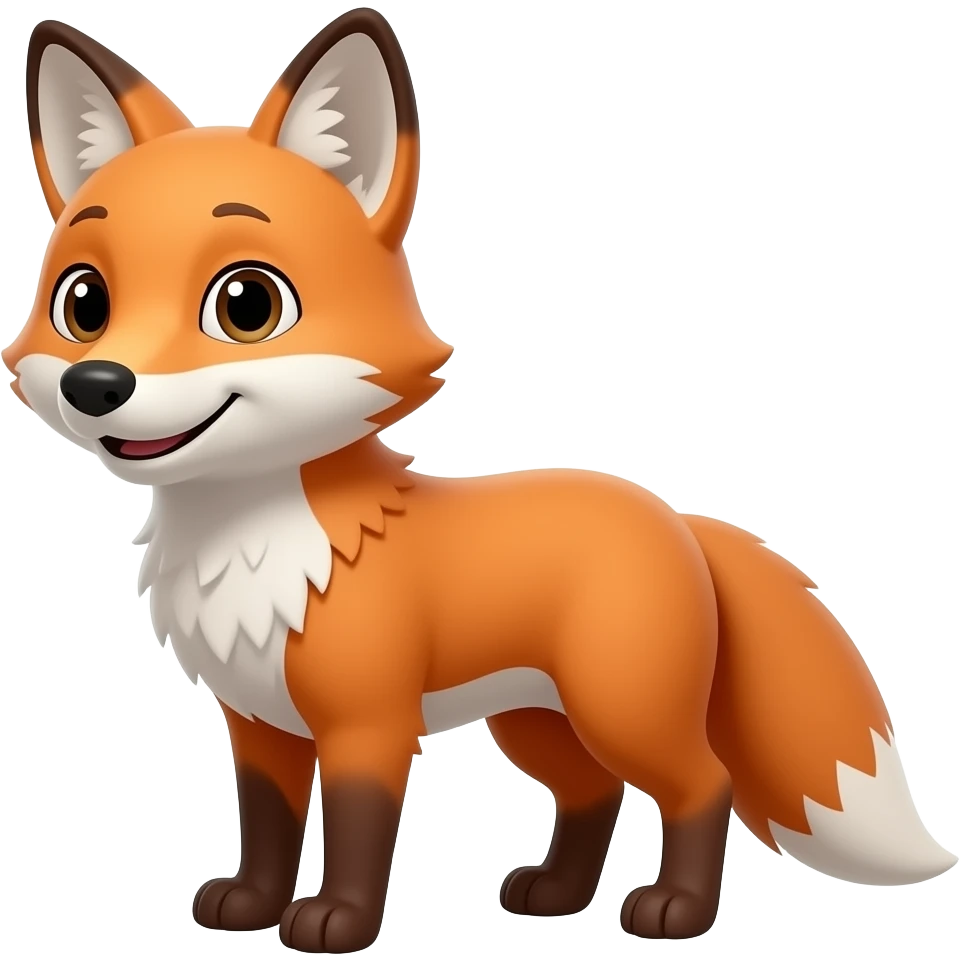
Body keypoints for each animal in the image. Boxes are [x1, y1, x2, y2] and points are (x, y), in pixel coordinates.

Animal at [7, 10, 957, 955]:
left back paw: (674, 910)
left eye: (247, 305)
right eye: (83, 302)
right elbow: (268, 824)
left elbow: (357, 828)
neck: (259, 546)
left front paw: (337, 921)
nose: (98, 384)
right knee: (591, 792)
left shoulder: (369, 723)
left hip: (620, 708)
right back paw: (555, 894)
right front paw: (250, 903)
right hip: (536, 721)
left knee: (701, 782)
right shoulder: (260, 725)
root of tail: (676, 515)